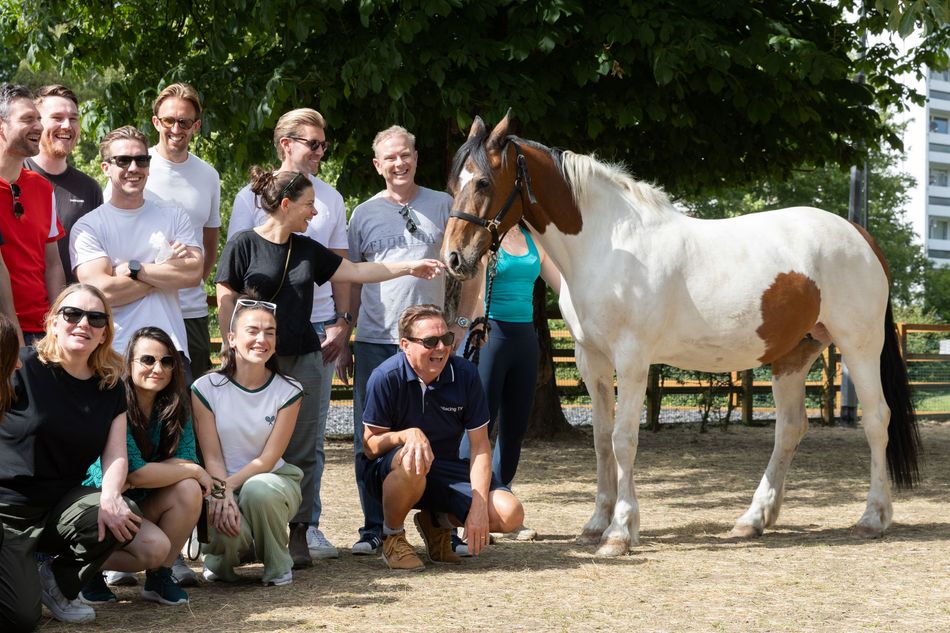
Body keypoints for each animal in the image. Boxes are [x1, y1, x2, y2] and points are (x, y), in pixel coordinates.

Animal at [441, 112, 921, 557]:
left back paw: (873, 517)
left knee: (876, 419)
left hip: (859, 346)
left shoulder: (632, 360)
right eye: (452, 182)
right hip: (793, 356)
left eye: (483, 181)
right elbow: (600, 439)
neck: (608, 243)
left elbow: (623, 439)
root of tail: (860, 235)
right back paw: (753, 519)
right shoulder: (591, 360)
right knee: (790, 428)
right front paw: (596, 523)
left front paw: (620, 532)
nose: (454, 258)